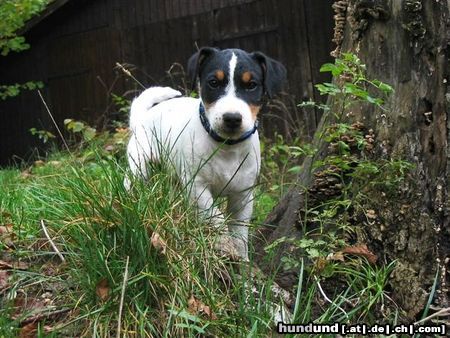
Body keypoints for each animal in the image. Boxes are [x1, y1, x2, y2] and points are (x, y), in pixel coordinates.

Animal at [125, 46, 286, 258]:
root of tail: (142, 117)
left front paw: (241, 260)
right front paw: (223, 243)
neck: (227, 147)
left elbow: (240, 233)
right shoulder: (197, 186)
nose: (232, 118)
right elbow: (215, 216)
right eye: (213, 83)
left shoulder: (243, 195)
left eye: (251, 85)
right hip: (140, 167)